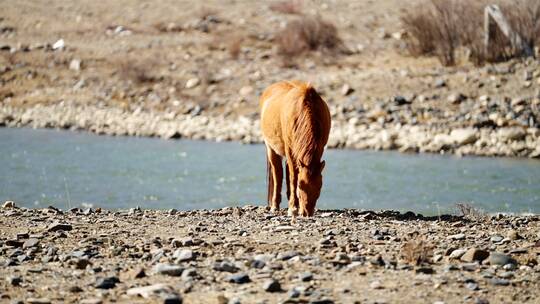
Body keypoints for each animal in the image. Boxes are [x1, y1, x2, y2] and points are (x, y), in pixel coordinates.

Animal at [260, 80, 332, 216]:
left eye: (320, 186)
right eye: (300, 185)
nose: (307, 212)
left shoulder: (320, 147)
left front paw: (294, 206)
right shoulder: (289, 149)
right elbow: (293, 177)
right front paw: (292, 208)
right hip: (270, 147)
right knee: (277, 174)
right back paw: (275, 206)